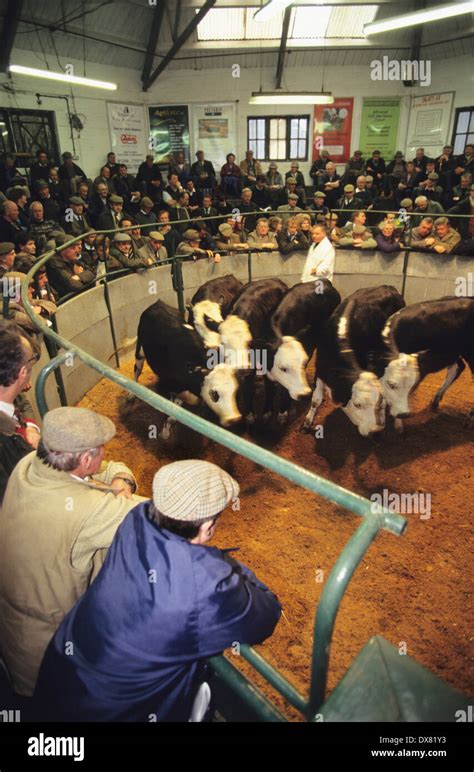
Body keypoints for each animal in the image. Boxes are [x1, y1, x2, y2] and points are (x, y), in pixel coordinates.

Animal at [135, 298, 243, 438]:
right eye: (213, 393)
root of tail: (157, 303)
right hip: (140, 350)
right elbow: (168, 411)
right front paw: (164, 434)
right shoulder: (164, 385)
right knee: (137, 369)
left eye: (235, 390)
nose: (234, 419)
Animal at [302, 286, 406, 438]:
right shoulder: (320, 370)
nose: (376, 433)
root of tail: (388, 287)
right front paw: (307, 422)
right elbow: (316, 400)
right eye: (357, 404)